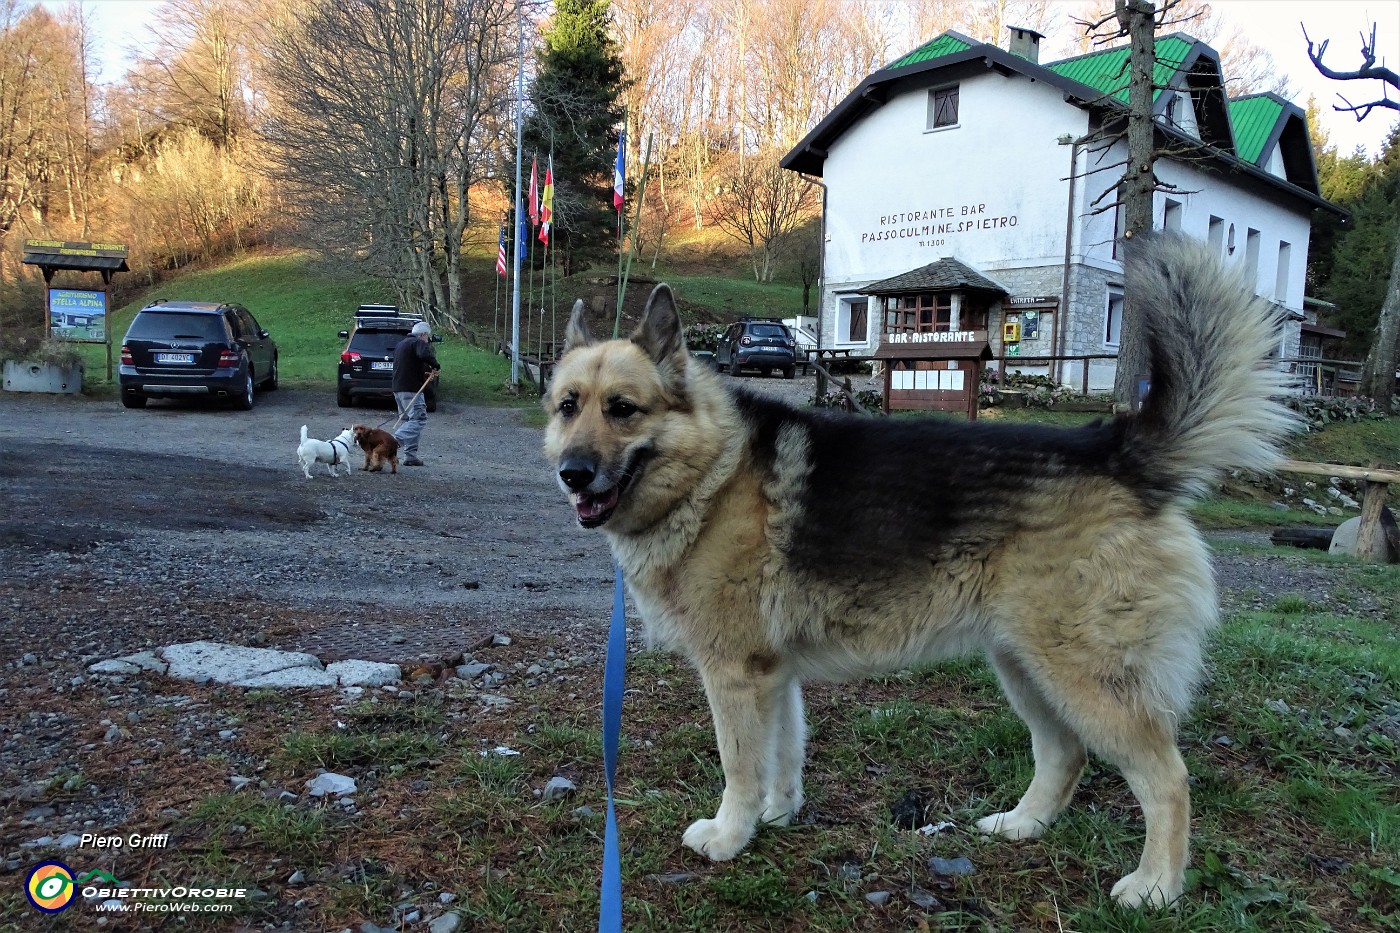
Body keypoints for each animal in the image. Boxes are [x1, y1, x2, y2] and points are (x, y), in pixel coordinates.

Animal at [540, 233, 1293, 907]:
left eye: (623, 409)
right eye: (568, 406)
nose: (571, 474)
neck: (712, 473)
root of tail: (1117, 451)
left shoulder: (736, 675)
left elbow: (740, 765)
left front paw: (731, 834)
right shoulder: (773, 677)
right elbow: (783, 757)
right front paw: (777, 817)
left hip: (1085, 679)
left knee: (1167, 779)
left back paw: (1157, 886)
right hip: (1024, 667)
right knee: (1065, 755)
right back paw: (1023, 825)